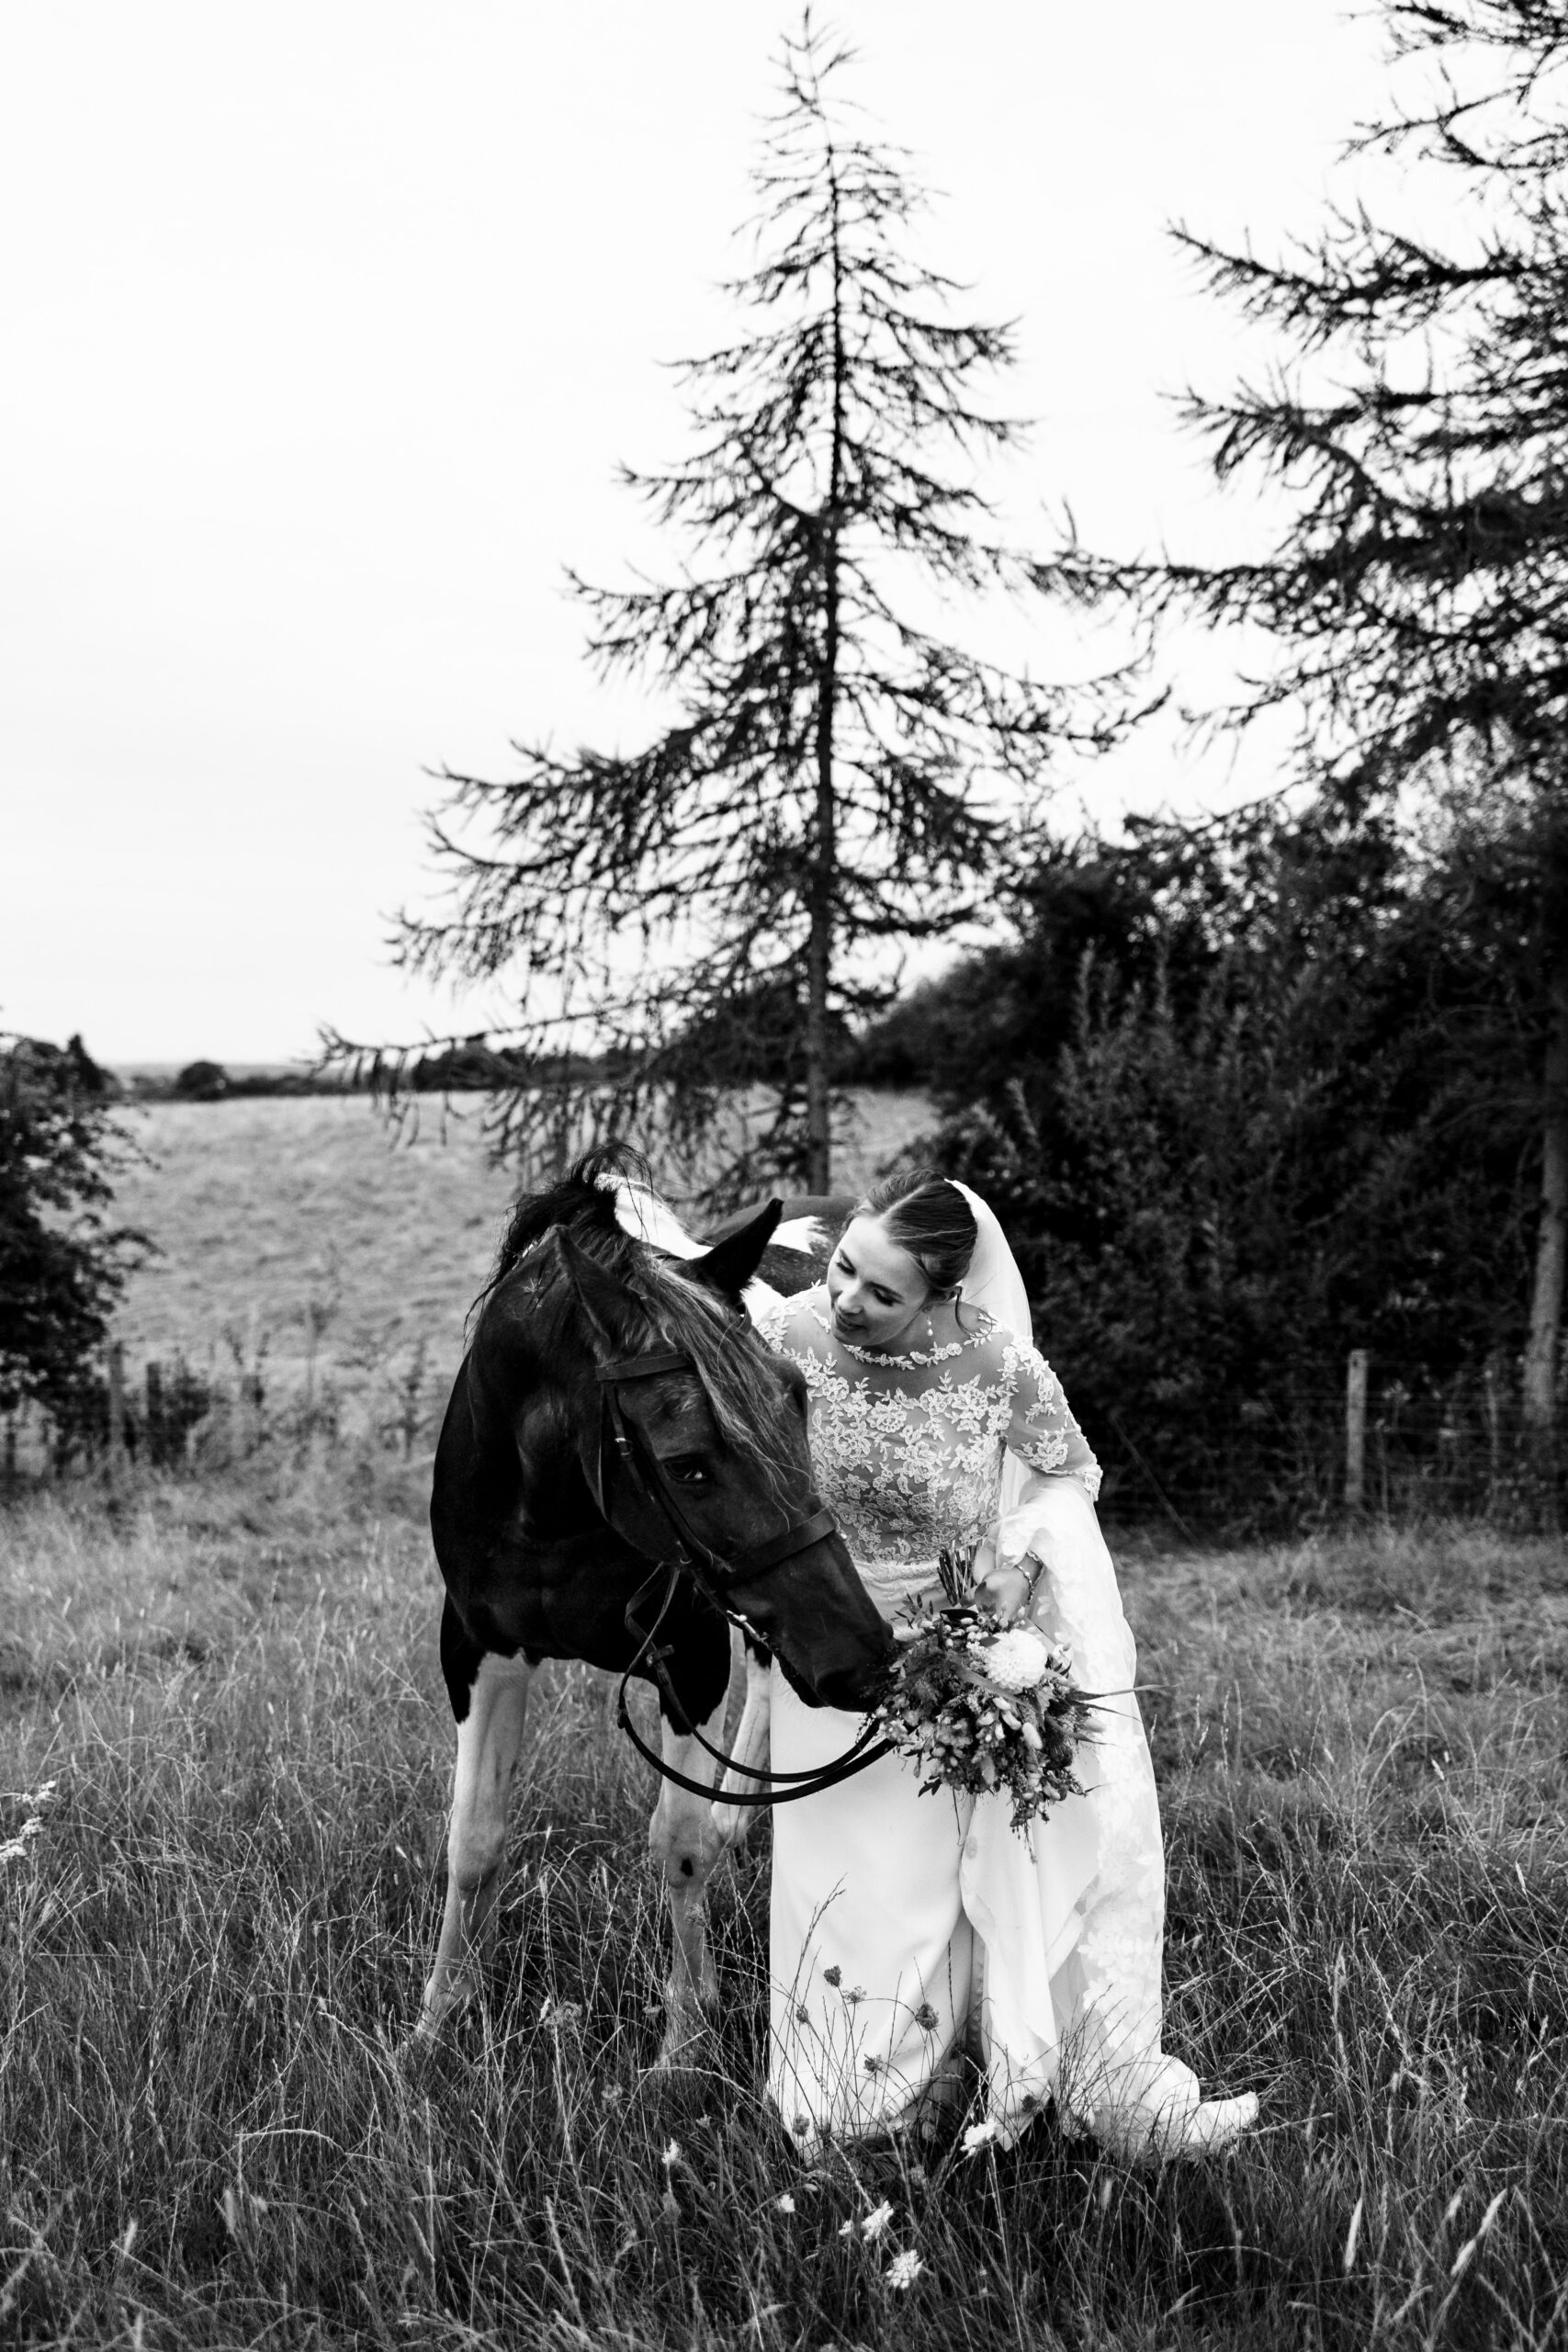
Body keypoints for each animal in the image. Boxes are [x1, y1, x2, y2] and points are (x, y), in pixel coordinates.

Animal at [421, 1152, 893, 2060]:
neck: (553, 1515)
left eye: (796, 1396)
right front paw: (437, 2018)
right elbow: (472, 1839)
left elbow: (677, 1847)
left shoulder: (692, 1661)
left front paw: (683, 2040)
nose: (864, 1660)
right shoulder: (477, 1652)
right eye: (686, 1465)